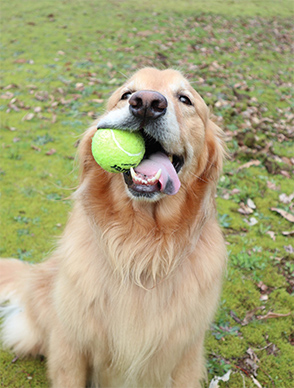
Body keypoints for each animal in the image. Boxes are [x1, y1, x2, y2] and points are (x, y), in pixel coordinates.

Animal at [0, 68, 226, 386]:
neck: (140, 244)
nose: (147, 103)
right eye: (126, 94)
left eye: (185, 99)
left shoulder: (185, 355)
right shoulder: (71, 344)